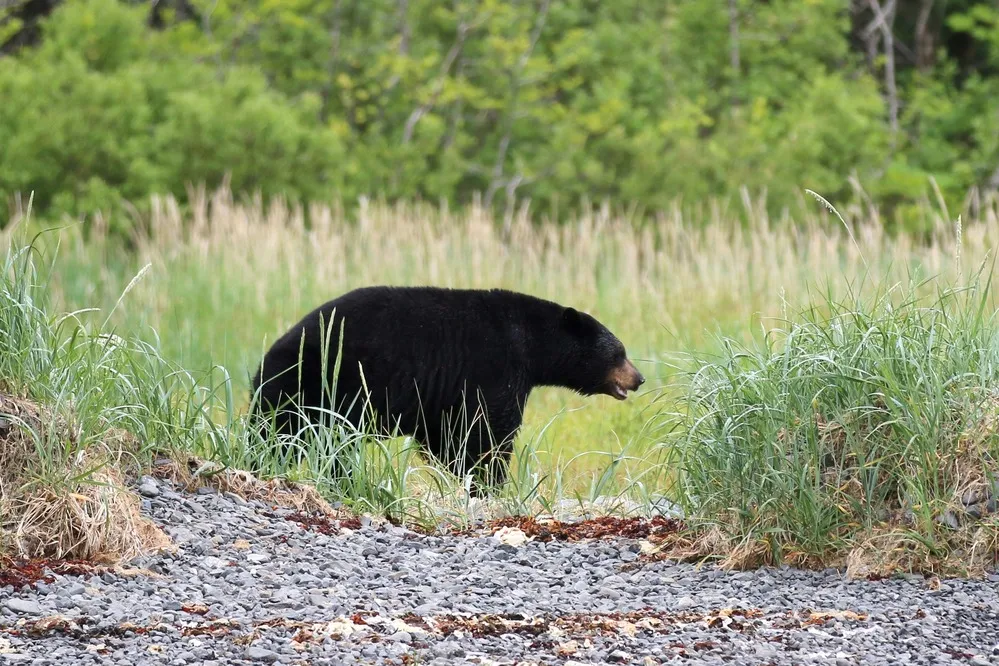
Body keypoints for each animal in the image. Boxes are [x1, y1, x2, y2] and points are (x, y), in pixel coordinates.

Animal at [249, 286, 645, 495]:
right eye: (619, 352)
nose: (639, 378)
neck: (530, 343)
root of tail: (267, 358)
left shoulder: (445, 395)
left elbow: (448, 436)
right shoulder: (495, 366)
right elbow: (490, 431)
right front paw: (490, 482)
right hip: (318, 384)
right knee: (294, 435)